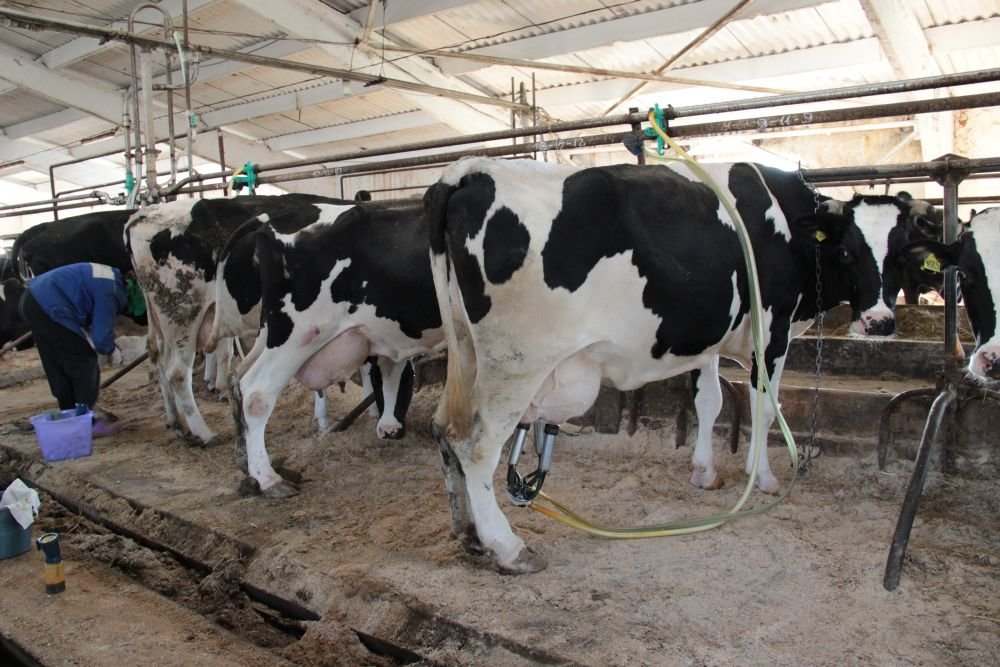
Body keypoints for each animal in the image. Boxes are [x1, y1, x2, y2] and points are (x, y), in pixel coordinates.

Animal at [232, 199, 444, 497]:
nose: (390, 432)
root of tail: (271, 221)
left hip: (272, 333)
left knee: (238, 378)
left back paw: (247, 466)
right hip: (299, 334)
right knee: (255, 392)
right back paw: (269, 479)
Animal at [423, 156, 936, 573]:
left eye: (900, 254)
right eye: (848, 250)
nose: (880, 322)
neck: (788, 225)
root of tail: (469, 171)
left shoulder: (706, 342)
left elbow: (710, 402)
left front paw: (705, 472)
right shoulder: (773, 332)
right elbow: (764, 409)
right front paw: (764, 479)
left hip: (467, 353)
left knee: (443, 428)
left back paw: (469, 536)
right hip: (516, 362)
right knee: (475, 445)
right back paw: (508, 548)